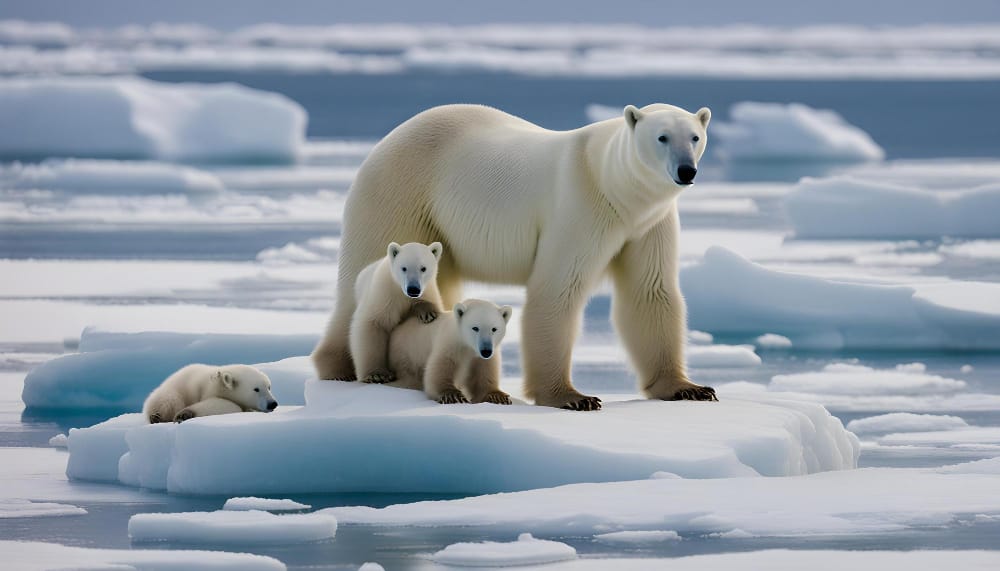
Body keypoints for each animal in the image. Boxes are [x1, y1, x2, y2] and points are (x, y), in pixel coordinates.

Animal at [142, 364, 278, 423]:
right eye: (256, 389)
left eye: (269, 387)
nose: (273, 404)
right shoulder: (208, 389)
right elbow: (227, 405)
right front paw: (184, 414)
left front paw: (184, 415)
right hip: (170, 392)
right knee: (169, 400)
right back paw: (157, 416)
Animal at [348, 241, 444, 384]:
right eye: (404, 268)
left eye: (423, 268)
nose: (413, 289)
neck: (400, 291)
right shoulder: (384, 294)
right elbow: (372, 325)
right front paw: (376, 375)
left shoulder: (429, 290)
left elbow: (426, 302)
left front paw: (428, 313)